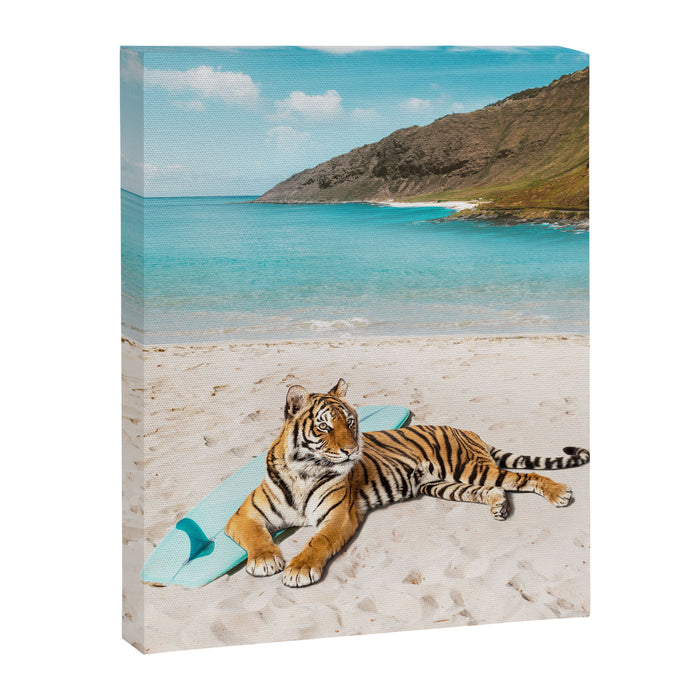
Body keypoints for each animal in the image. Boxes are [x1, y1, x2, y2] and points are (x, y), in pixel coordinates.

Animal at [225, 379, 590, 588]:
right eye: (325, 426)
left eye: (352, 422)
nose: (352, 450)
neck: (304, 471)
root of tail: (467, 430)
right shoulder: (244, 516)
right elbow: (256, 536)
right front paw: (265, 560)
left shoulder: (338, 515)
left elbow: (317, 541)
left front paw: (299, 569)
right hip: (442, 485)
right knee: (494, 489)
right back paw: (499, 507)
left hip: (469, 468)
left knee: (525, 477)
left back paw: (560, 493)